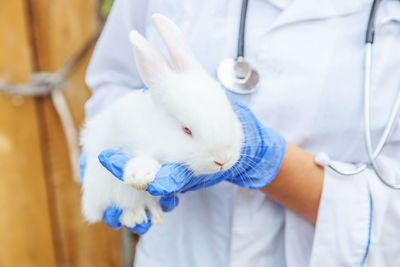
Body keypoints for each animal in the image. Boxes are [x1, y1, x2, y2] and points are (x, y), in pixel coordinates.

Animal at [80, 14, 244, 228]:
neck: (161, 131)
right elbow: (143, 159)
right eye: (187, 130)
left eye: (230, 114)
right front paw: (140, 176)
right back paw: (135, 217)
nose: (222, 160)